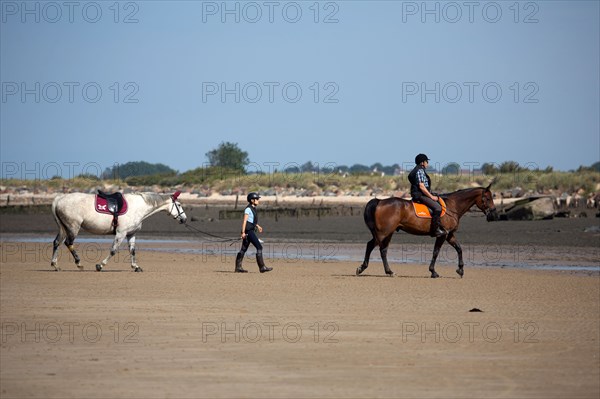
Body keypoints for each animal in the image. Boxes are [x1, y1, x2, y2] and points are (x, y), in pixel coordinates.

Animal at [356, 184, 496, 278]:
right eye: (488, 198)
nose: (494, 214)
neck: (452, 206)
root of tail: (379, 201)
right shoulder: (442, 235)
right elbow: (436, 252)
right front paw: (433, 271)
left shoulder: (449, 235)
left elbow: (459, 249)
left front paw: (460, 270)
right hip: (383, 233)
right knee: (376, 248)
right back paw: (377, 270)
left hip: (388, 233)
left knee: (378, 248)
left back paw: (378, 270)